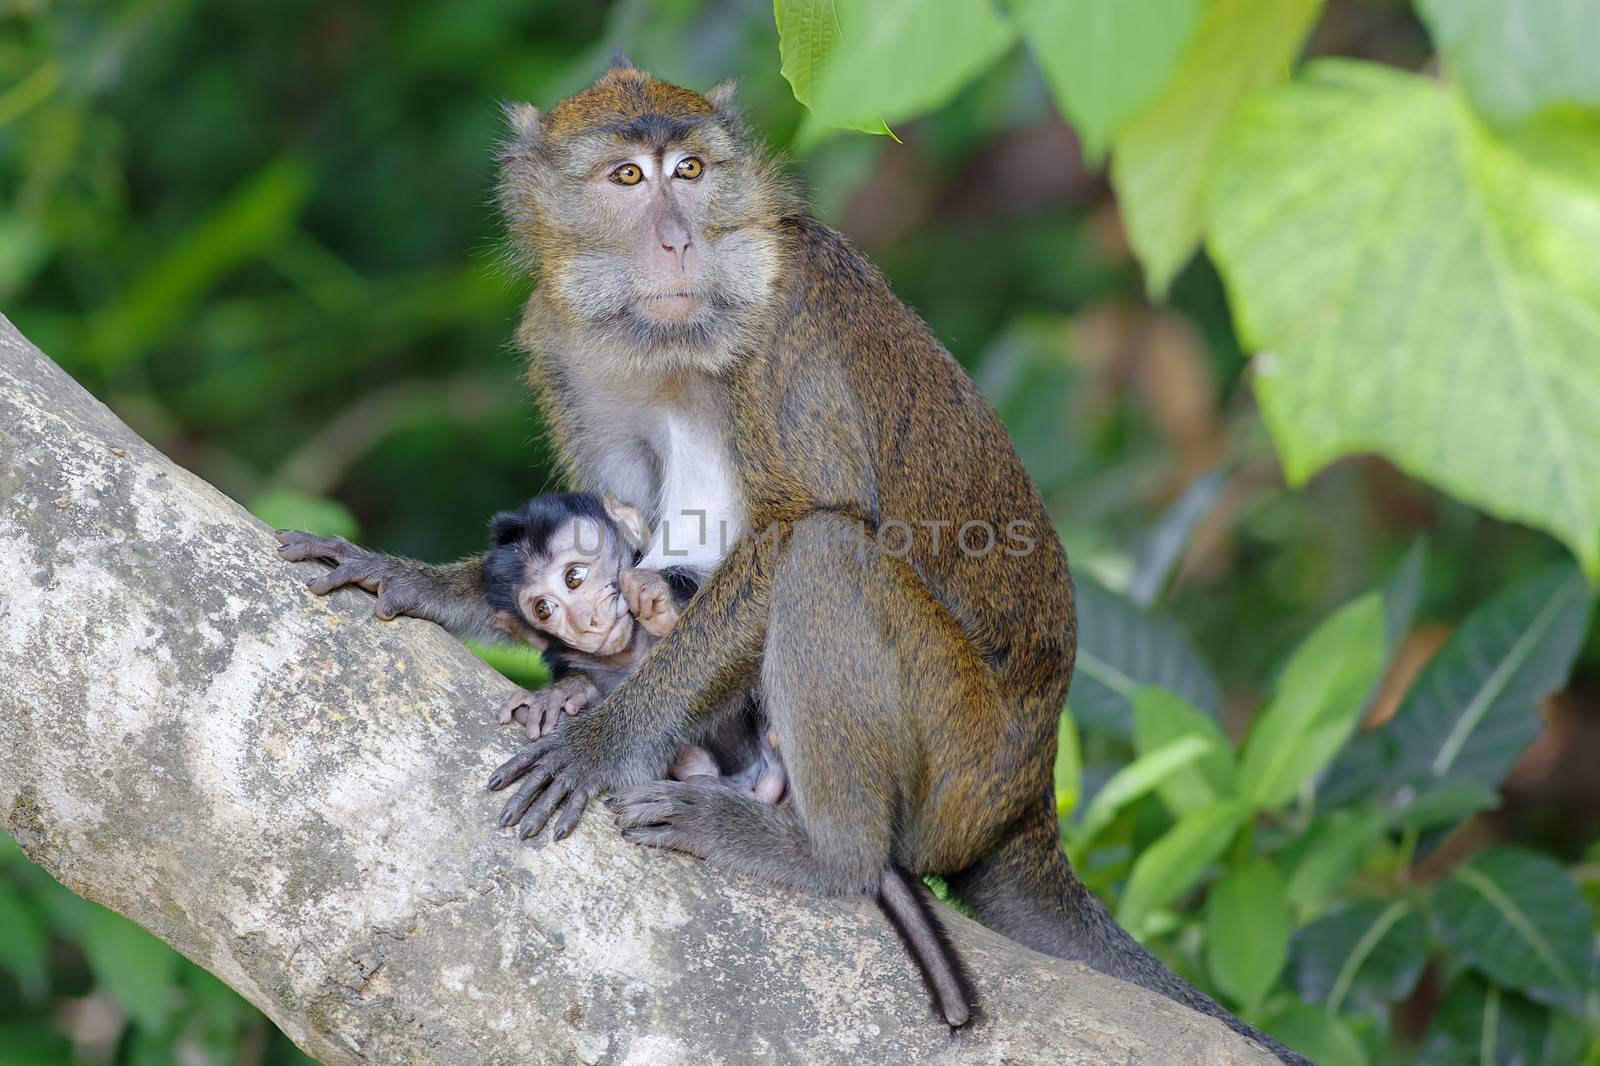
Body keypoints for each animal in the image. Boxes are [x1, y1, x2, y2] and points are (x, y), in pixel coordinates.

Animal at [284, 58, 1299, 1056]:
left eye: (690, 170)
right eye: (628, 177)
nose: (677, 241)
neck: (671, 346)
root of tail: (1026, 803)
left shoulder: (785, 334)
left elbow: (792, 530)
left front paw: (601, 739)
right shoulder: (566, 347)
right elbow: (610, 518)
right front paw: (437, 591)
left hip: (956, 763)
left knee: (826, 555)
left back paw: (826, 856)